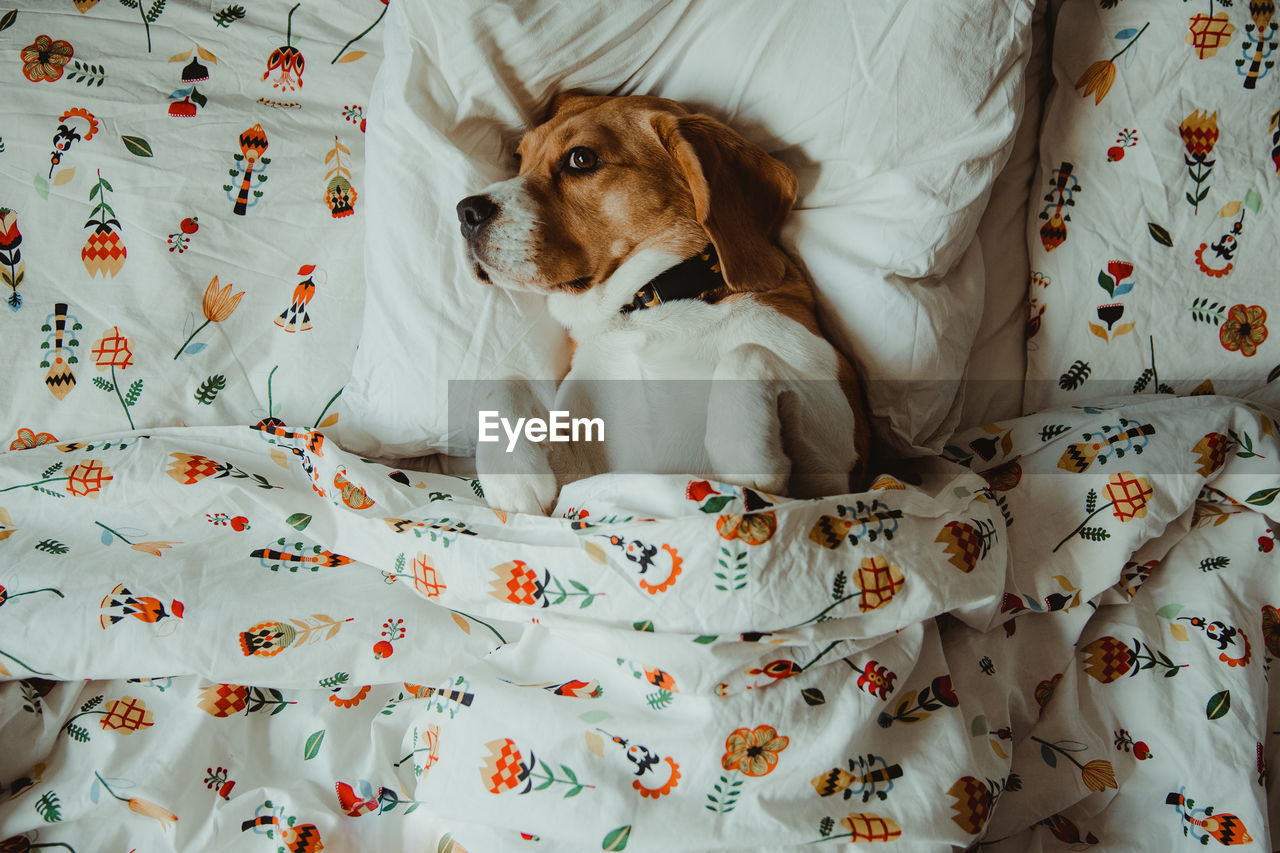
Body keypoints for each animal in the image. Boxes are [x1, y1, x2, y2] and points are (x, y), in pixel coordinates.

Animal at [458, 94, 870, 517]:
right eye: (520, 156)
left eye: (581, 159)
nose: (466, 211)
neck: (650, 311)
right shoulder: (581, 478)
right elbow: (502, 380)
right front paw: (513, 477)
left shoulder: (837, 471)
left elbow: (746, 353)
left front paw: (743, 449)